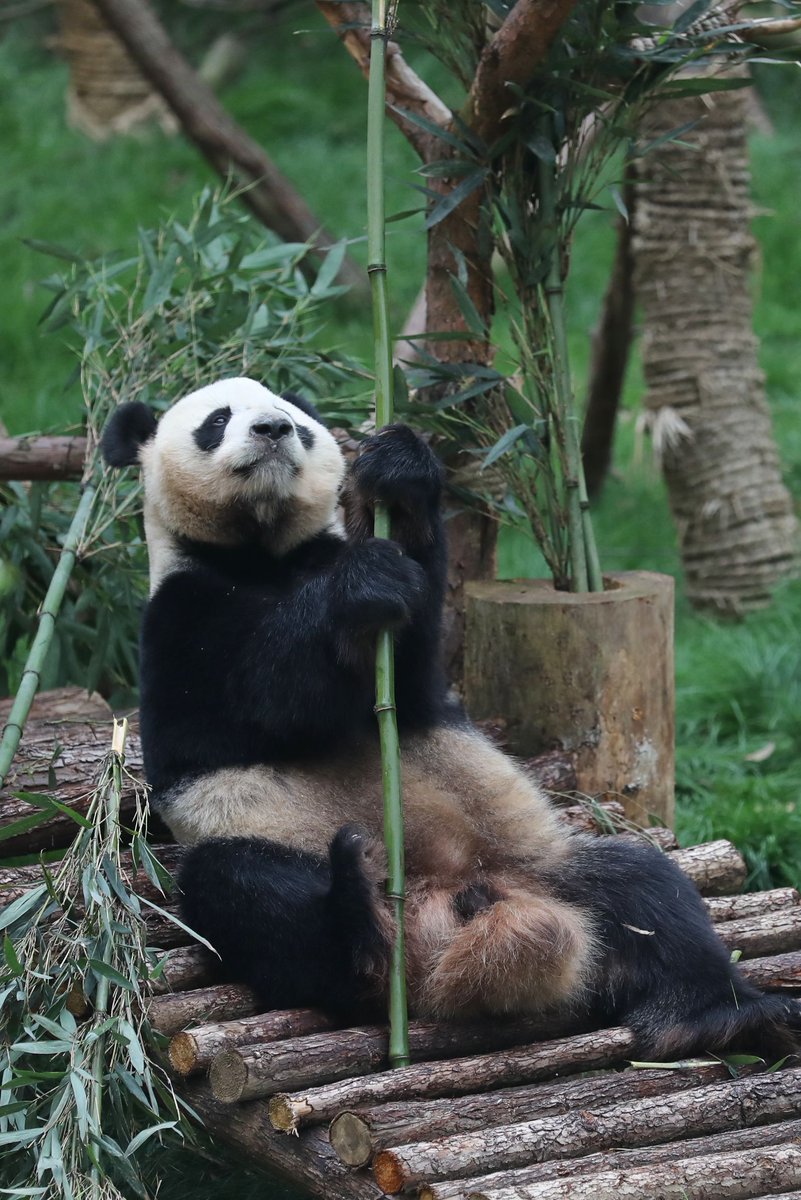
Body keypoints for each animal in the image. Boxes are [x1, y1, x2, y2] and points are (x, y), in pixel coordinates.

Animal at [102, 377, 799, 1057]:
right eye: (217, 420)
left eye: (294, 421)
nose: (272, 430)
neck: (266, 554)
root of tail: (442, 925)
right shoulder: (177, 618)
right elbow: (263, 701)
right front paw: (361, 585)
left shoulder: (393, 647)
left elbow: (410, 661)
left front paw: (397, 474)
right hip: (268, 840)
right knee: (246, 892)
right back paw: (353, 919)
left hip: (543, 869)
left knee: (646, 890)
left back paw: (717, 1018)